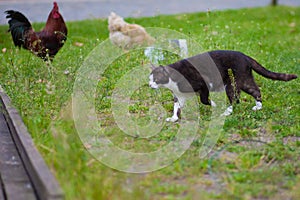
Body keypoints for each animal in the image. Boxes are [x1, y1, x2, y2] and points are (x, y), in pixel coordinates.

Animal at [149, 50, 296, 122]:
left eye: (155, 79)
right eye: (149, 79)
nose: (149, 85)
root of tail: (245, 56)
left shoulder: (203, 83)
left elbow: (204, 99)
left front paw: (214, 105)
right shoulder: (178, 95)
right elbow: (176, 107)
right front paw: (174, 118)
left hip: (232, 83)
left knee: (234, 99)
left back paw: (226, 112)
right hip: (245, 79)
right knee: (255, 91)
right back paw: (258, 107)